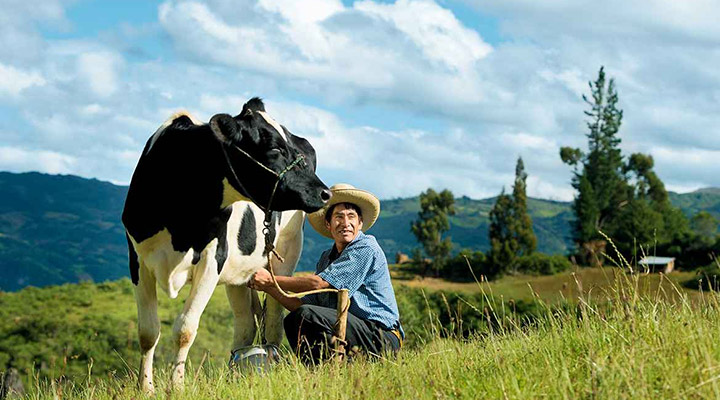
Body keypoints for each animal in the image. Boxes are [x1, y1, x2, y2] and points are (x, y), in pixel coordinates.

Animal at [122, 98, 331, 394]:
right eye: (275, 148)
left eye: (291, 146)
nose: (325, 193)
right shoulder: (138, 261)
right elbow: (148, 332)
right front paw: (146, 388)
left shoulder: (212, 260)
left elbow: (185, 329)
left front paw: (177, 387)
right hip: (240, 273)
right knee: (246, 322)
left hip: (286, 254)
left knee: (273, 319)